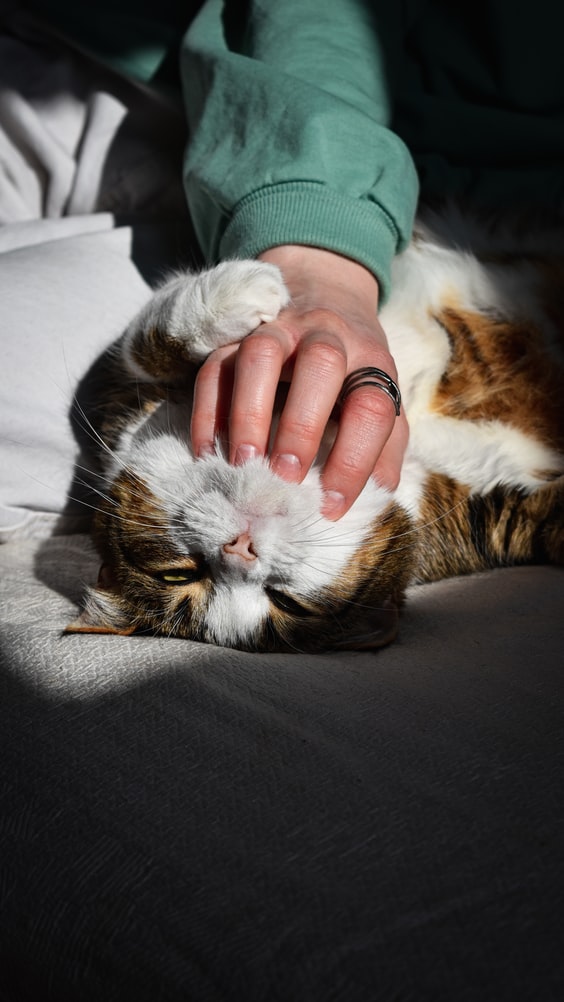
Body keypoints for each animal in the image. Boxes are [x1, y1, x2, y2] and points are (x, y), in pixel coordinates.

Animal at [67, 207, 564, 653]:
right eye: (180, 574)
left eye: (285, 602)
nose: (240, 551)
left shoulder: (119, 388)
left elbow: (145, 339)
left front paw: (238, 291)